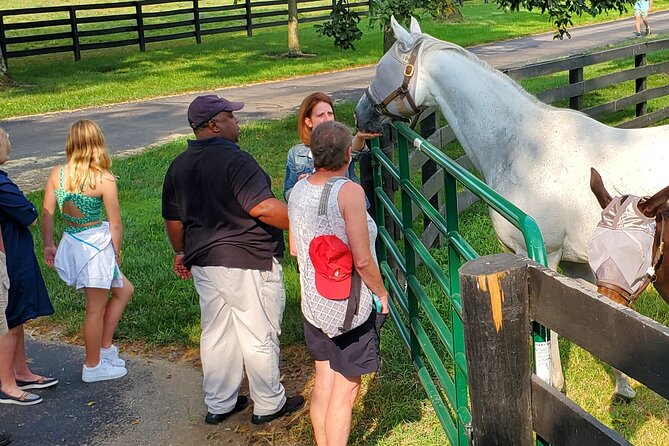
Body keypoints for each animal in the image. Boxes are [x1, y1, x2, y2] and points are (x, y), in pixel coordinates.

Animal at [354, 16, 669, 396]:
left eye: (381, 69)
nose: (360, 114)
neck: (525, 147)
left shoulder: (544, 258)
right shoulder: (580, 266)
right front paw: (624, 386)